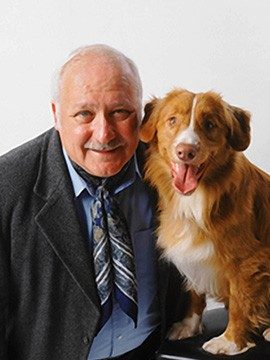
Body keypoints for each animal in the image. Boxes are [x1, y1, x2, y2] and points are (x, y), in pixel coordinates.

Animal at [139, 88, 270, 356]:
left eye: (210, 124)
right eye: (172, 120)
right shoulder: (191, 251)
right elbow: (193, 291)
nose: (185, 151)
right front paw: (189, 325)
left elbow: (240, 302)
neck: (197, 200)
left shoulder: (248, 261)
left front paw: (230, 342)